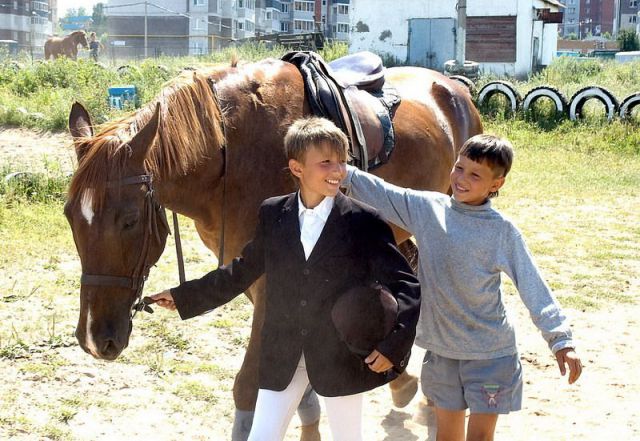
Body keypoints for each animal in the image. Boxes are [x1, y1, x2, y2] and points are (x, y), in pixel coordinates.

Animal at [66, 56, 480, 438]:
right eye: (70, 216)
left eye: (129, 220)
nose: (94, 339)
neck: (231, 156)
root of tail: (452, 86)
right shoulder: (252, 269)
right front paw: (311, 416)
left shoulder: (270, 279)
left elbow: (249, 387)